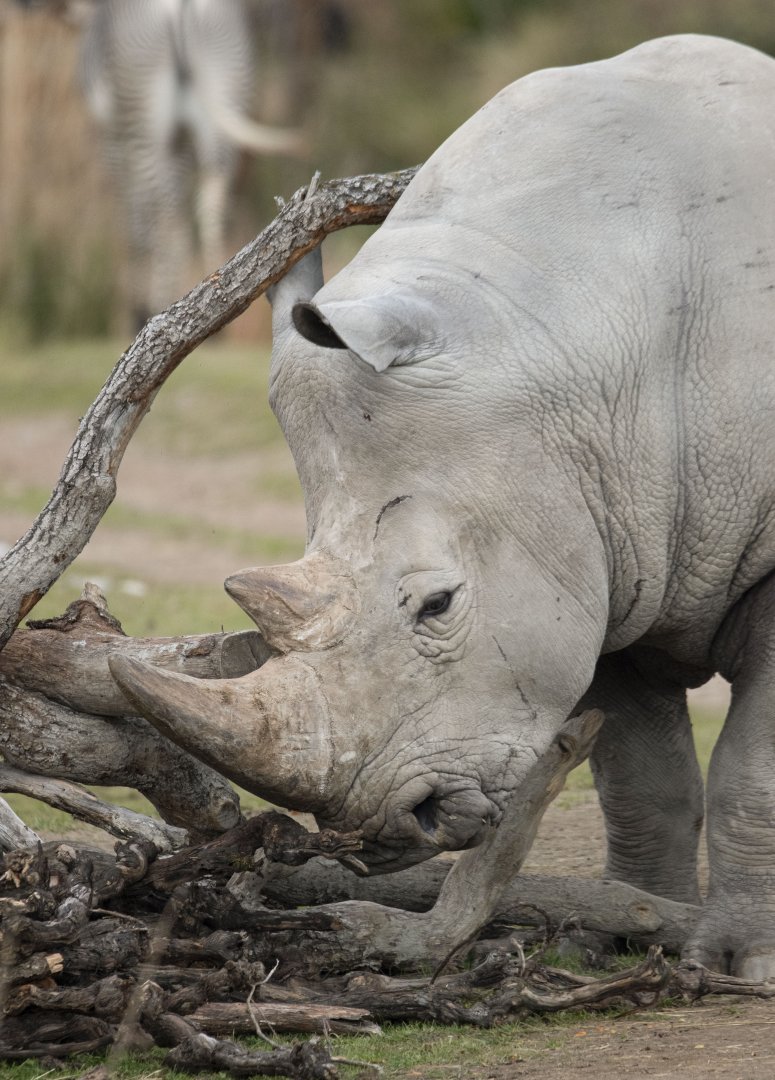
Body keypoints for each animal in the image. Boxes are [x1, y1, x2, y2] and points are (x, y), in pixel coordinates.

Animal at [111, 34, 775, 977]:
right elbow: (643, 780)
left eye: (437, 604)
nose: (387, 824)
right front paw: (625, 933)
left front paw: (737, 965)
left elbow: (751, 771)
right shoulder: (604, 545)